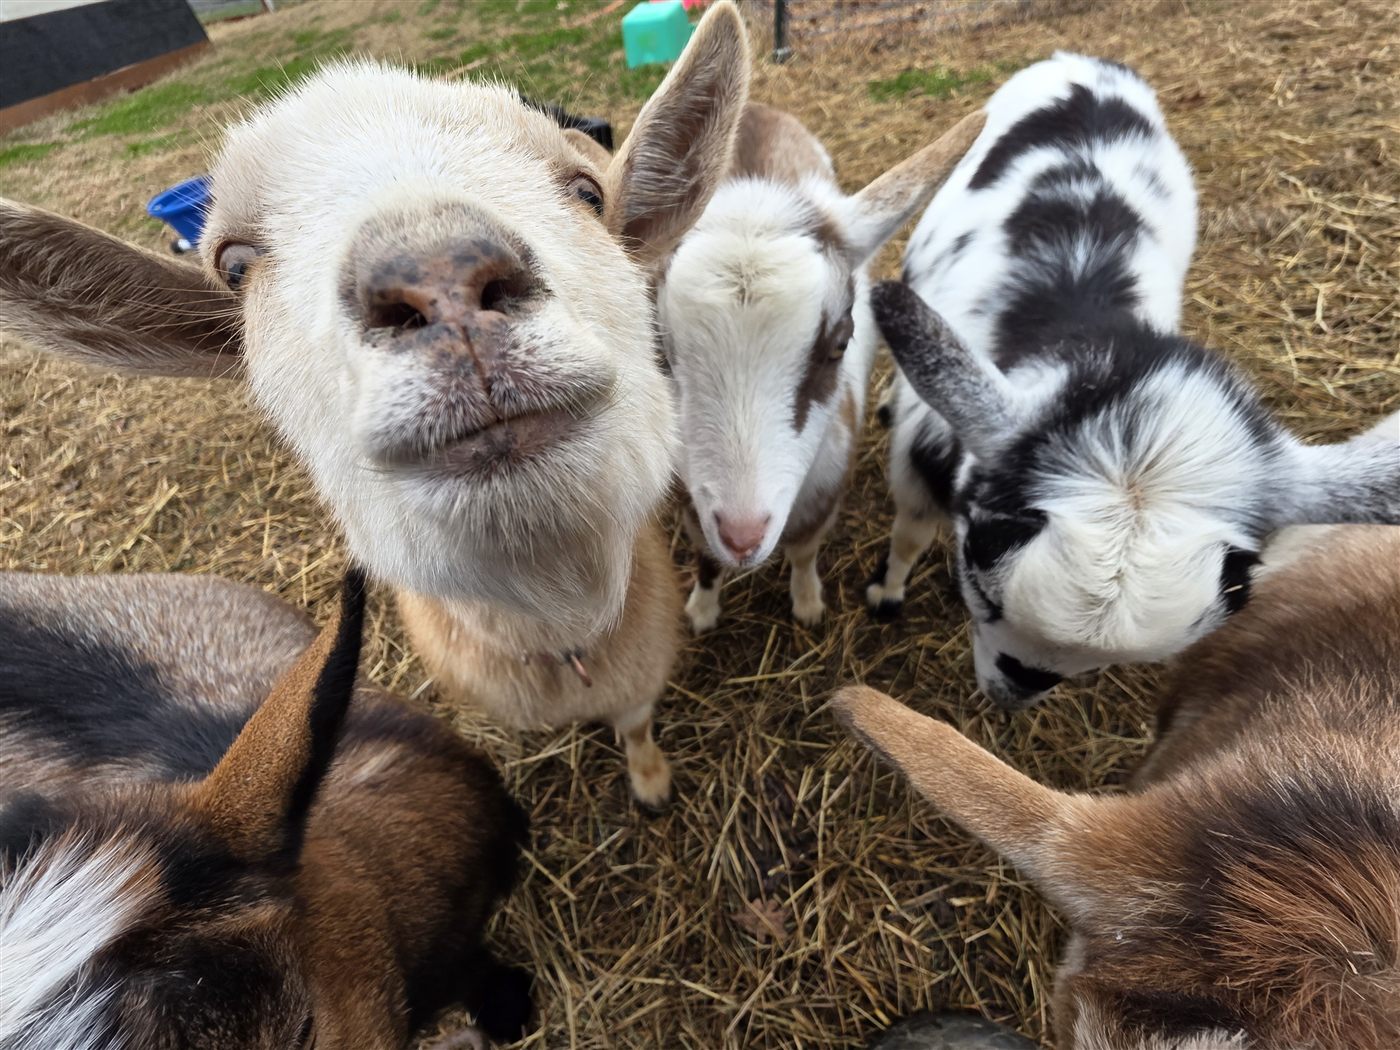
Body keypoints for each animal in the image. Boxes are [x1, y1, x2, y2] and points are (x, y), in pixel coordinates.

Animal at [0, 2, 753, 808]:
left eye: (587, 193)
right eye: (234, 265)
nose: (439, 273)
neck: (561, 633)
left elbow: (638, 723)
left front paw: (651, 782)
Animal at [657, 102, 984, 632]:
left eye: (839, 343)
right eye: (657, 345)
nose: (744, 537)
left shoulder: (825, 491)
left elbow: (805, 550)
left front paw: (808, 603)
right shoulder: (693, 501)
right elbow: (706, 558)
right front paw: (702, 612)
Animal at [863, 51, 1400, 708]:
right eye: (981, 588)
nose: (1010, 693)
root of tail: (1084, 62)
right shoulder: (924, 453)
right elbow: (910, 531)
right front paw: (886, 593)